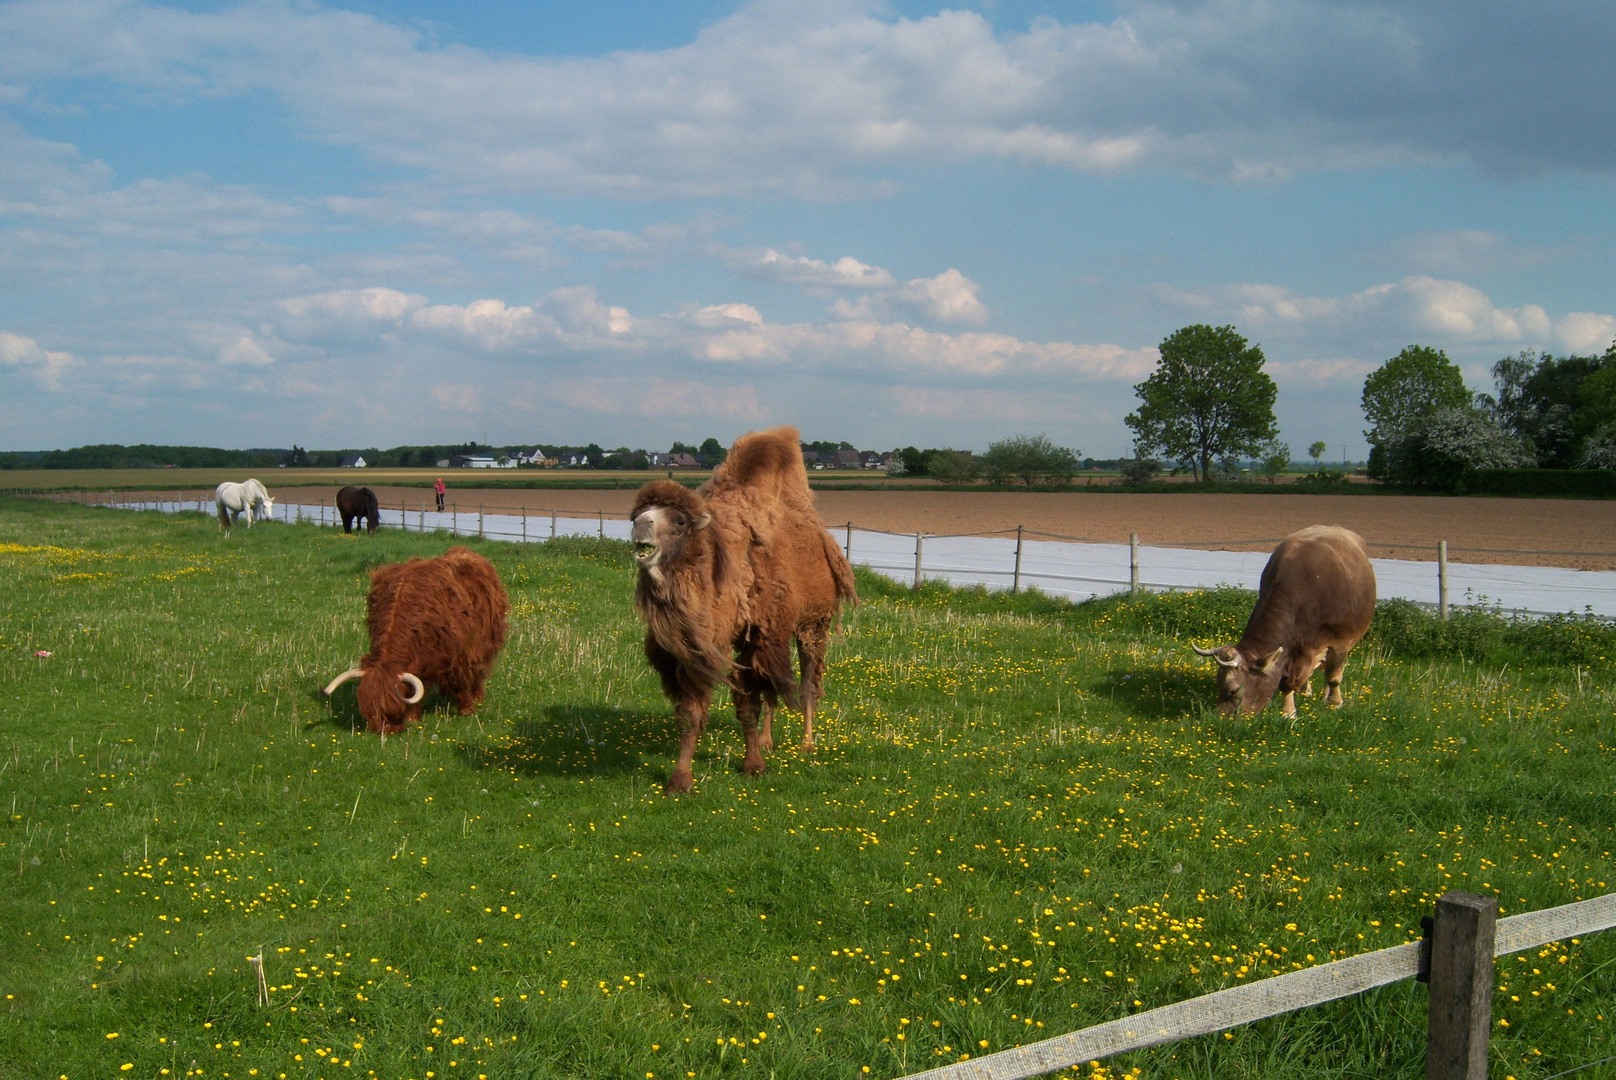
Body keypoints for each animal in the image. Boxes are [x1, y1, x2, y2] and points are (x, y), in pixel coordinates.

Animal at [319, 549, 507, 734]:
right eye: (370, 712)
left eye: (392, 710)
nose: (384, 732)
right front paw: (413, 717)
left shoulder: (460, 653)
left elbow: (459, 683)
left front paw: (467, 710)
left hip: (486, 643)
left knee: (479, 670)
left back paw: (477, 696)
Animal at [627, 426, 859, 792]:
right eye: (635, 515)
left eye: (679, 521)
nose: (641, 525)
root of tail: (827, 543)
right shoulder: (692, 651)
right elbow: (689, 712)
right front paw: (680, 779)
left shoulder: (758, 635)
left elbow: (749, 701)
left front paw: (753, 766)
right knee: (774, 687)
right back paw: (767, 739)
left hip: (814, 623)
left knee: (807, 680)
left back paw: (807, 742)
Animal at [1189, 523, 1376, 717]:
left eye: (1234, 689)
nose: (1220, 717)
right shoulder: (1291, 651)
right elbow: (1286, 682)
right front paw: (1289, 712)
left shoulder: (1341, 642)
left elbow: (1333, 677)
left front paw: (1334, 702)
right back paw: (1306, 689)